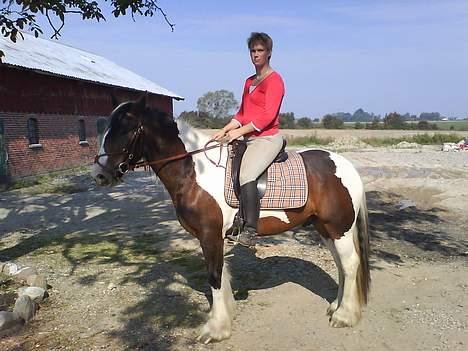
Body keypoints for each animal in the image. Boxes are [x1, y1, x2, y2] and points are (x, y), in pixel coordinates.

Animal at [90, 95, 370, 344]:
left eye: (125, 129)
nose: (100, 175)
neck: (194, 172)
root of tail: (346, 166)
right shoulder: (213, 237)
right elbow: (220, 274)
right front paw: (223, 317)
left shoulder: (210, 235)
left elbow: (214, 276)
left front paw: (215, 329)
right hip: (326, 229)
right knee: (342, 265)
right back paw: (336, 305)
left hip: (339, 228)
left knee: (350, 264)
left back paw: (344, 315)